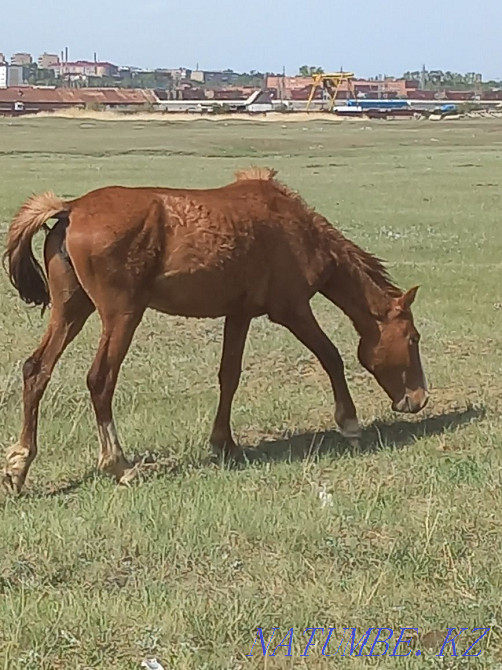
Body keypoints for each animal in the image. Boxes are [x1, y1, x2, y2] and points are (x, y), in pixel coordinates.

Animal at [2, 167, 428, 494]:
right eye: (413, 338)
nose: (419, 398)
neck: (295, 228)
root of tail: (70, 209)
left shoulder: (239, 314)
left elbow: (229, 375)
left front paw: (224, 442)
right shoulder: (291, 310)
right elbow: (331, 356)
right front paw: (349, 423)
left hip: (71, 311)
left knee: (36, 370)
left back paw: (19, 466)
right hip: (121, 316)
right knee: (100, 380)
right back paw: (119, 464)